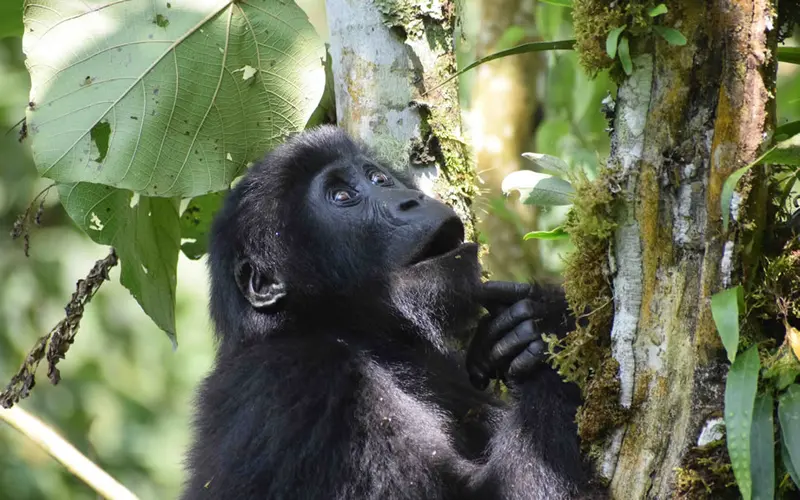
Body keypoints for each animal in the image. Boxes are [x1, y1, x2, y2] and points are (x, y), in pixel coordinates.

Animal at [181, 127, 592, 500]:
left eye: (379, 179)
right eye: (342, 196)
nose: (410, 200)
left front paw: (524, 328)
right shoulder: (304, 380)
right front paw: (552, 327)